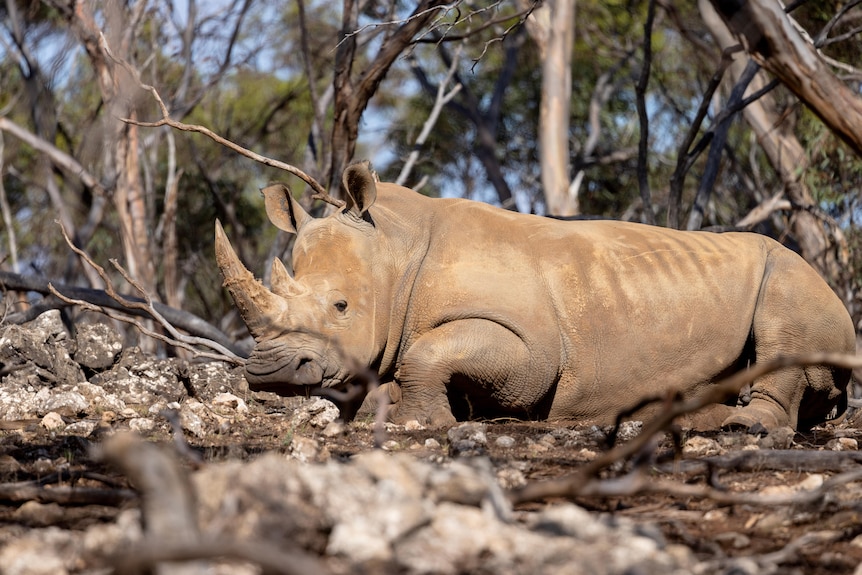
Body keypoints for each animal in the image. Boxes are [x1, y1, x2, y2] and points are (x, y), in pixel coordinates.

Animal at [215, 162, 855, 431]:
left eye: (341, 306)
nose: (269, 372)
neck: (394, 250)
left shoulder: (532, 348)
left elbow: (430, 351)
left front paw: (414, 420)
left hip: (801, 276)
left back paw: (738, 428)